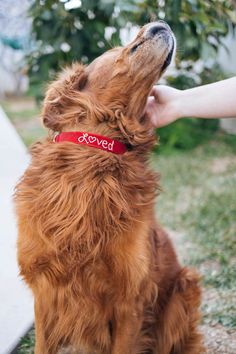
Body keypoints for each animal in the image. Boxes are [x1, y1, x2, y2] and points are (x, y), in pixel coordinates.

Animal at [14, 20, 205, 352]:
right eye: (119, 47)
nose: (161, 23)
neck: (97, 159)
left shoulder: (130, 300)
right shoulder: (45, 293)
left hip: (183, 290)